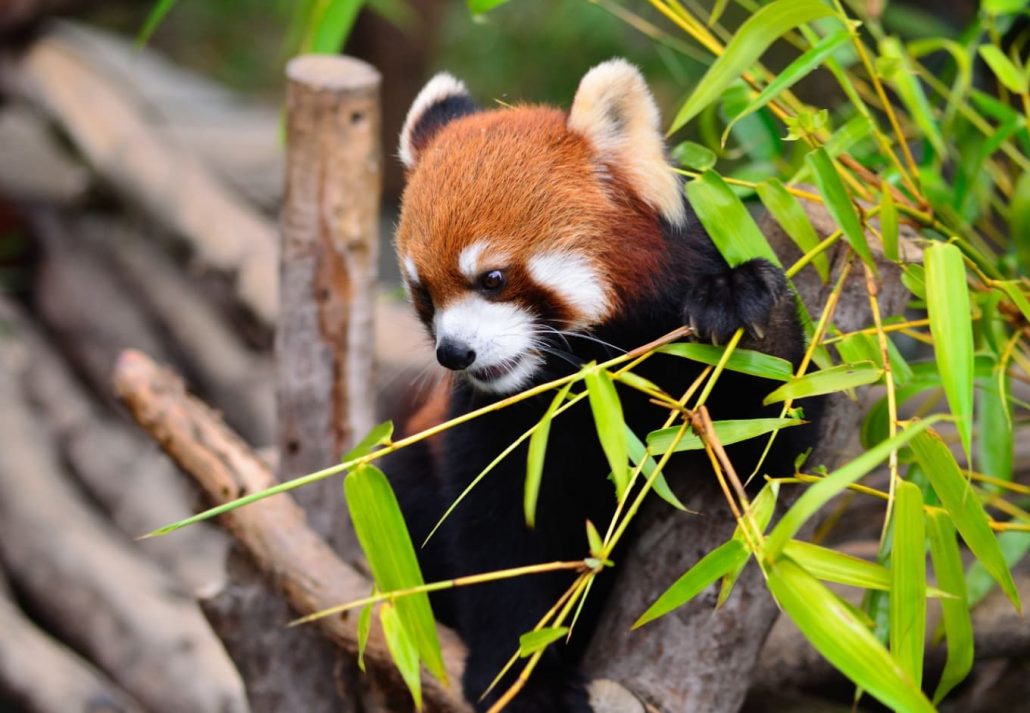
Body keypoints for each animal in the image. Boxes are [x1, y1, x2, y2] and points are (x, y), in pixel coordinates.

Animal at [383, 61, 815, 713]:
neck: (587, 375)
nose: (453, 352)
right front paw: (521, 679)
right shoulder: (497, 422)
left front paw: (741, 299)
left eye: (493, 278)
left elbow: (772, 449)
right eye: (425, 293)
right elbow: (498, 538)